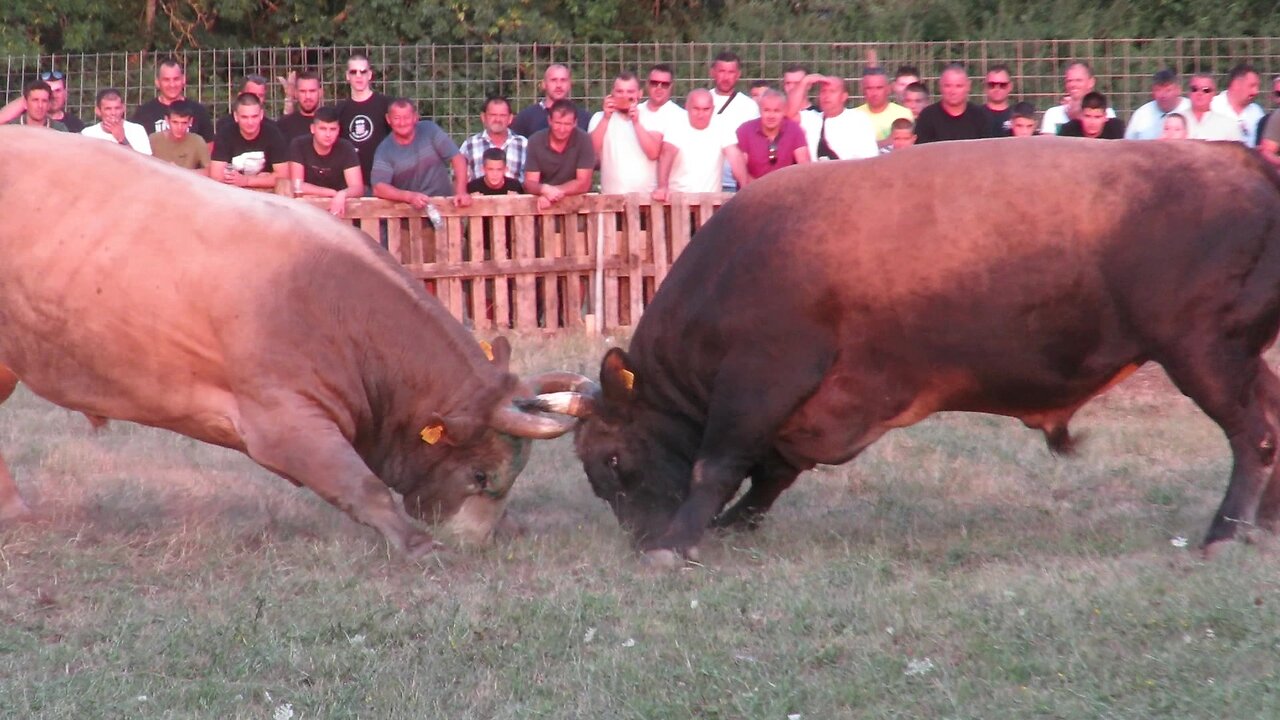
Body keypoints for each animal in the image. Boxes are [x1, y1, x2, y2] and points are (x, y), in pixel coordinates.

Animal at [545, 133, 1280, 561]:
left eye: (612, 459)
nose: (637, 539)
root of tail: (1235, 156)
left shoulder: (761, 378)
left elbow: (718, 466)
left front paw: (678, 543)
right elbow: (770, 474)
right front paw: (728, 526)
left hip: (1204, 352)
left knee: (1254, 434)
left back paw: (1224, 531)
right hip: (1236, 356)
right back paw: (1262, 525)